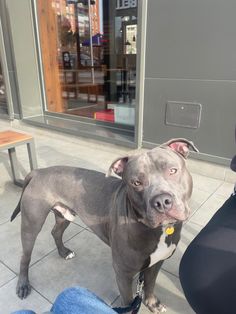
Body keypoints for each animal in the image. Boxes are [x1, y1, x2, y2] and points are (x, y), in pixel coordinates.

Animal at [12, 138, 198, 314]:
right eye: (136, 183)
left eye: (172, 170)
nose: (161, 201)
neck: (157, 229)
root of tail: (38, 171)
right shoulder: (123, 273)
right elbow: (128, 302)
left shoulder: (156, 263)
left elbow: (150, 285)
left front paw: (152, 303)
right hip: (32, 223)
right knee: (25, 255)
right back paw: (23, 285)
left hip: (65, 215)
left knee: (56, 232)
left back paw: (64, 252)